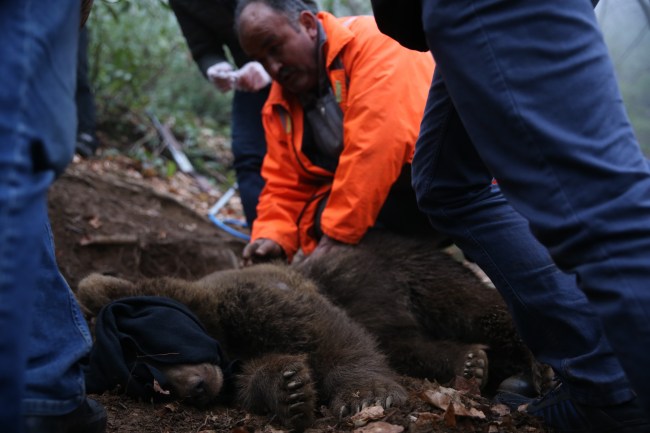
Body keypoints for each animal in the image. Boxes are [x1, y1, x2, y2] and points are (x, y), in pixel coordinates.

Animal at [77, 230, 540, 428]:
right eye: (140, 382)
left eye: (149, 350)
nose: (192, 387)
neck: (221, 339)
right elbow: (263, 374)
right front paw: (290, 388)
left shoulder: (255, 295)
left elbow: (324, 332)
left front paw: (365, 395)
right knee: (405, 342)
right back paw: (470, 363)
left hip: (404, 269)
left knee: (471, 303)